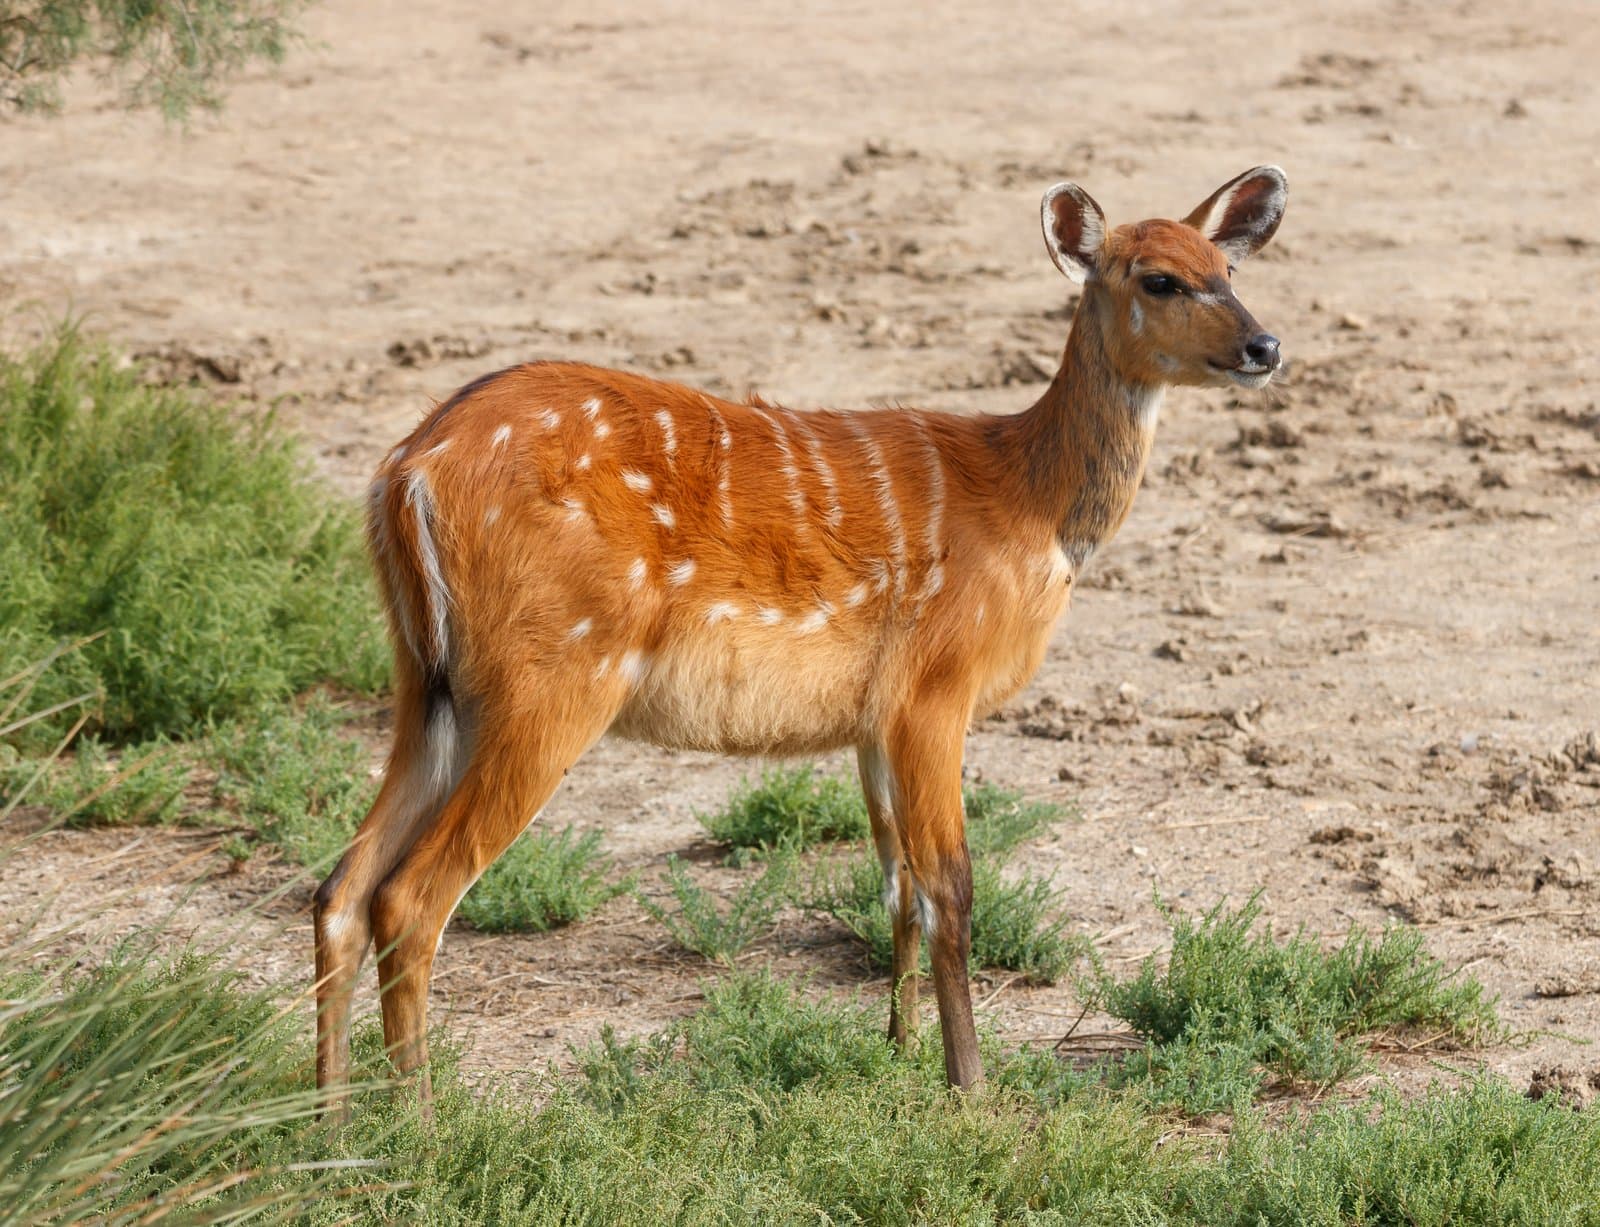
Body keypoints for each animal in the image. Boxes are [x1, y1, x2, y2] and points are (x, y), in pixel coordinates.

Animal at [313, 166, 1288, 1106]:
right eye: (1159, 279)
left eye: (1229, 268)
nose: (1265, 347)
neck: (1028, 500)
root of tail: (408, 471)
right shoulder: (936, 689)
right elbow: (950, 885)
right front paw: (970, 1090)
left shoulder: (871, 717)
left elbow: (894, 879)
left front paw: (897, 1048)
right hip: (553, 678)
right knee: (410, 898)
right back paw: (422, 1125)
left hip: (430, 682)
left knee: (341, 889)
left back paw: (329, 1116)